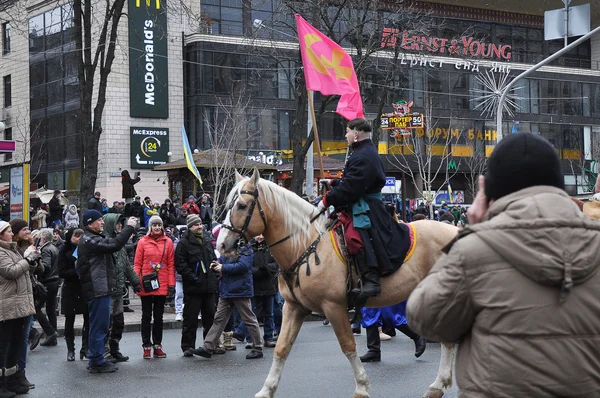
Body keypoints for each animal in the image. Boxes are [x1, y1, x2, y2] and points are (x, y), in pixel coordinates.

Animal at [218, 169, 458, 398]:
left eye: (241, 205)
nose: (221, 245)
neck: (304, 245)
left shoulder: (334, 306)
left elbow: (348, 345)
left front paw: (362, 386)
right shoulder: (293, 307)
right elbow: (281, 348)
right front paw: (267, 390)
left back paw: (439, 382)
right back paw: (438, 385)